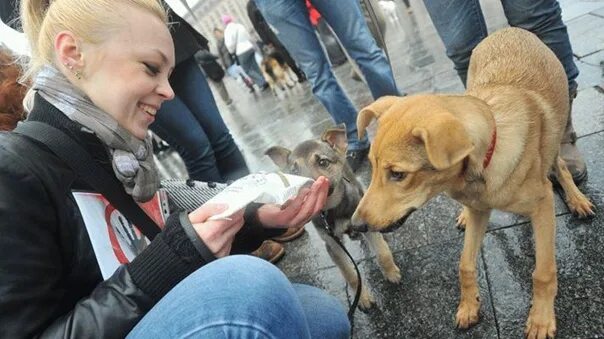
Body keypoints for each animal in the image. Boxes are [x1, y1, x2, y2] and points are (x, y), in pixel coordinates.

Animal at [266, 127, 402, 310]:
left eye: (323, 162)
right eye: (294, 172)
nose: (305, 190)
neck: (332, 210)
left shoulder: (367, 230)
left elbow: (382, 253)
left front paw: (391, 273)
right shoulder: (332, 244)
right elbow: (349, 274)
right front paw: (363, 298)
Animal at [352, 27, 592, 338]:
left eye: (398, 174)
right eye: (371, 166)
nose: (355, 226)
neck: (480, 167)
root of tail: (508, 30)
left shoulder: (542, 207)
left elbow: (543, 272)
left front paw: (540, 319)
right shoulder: (479, 210)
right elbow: (465, 264)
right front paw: (469, 306)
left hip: (555, 134)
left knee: (560, 164)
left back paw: (576, 199)